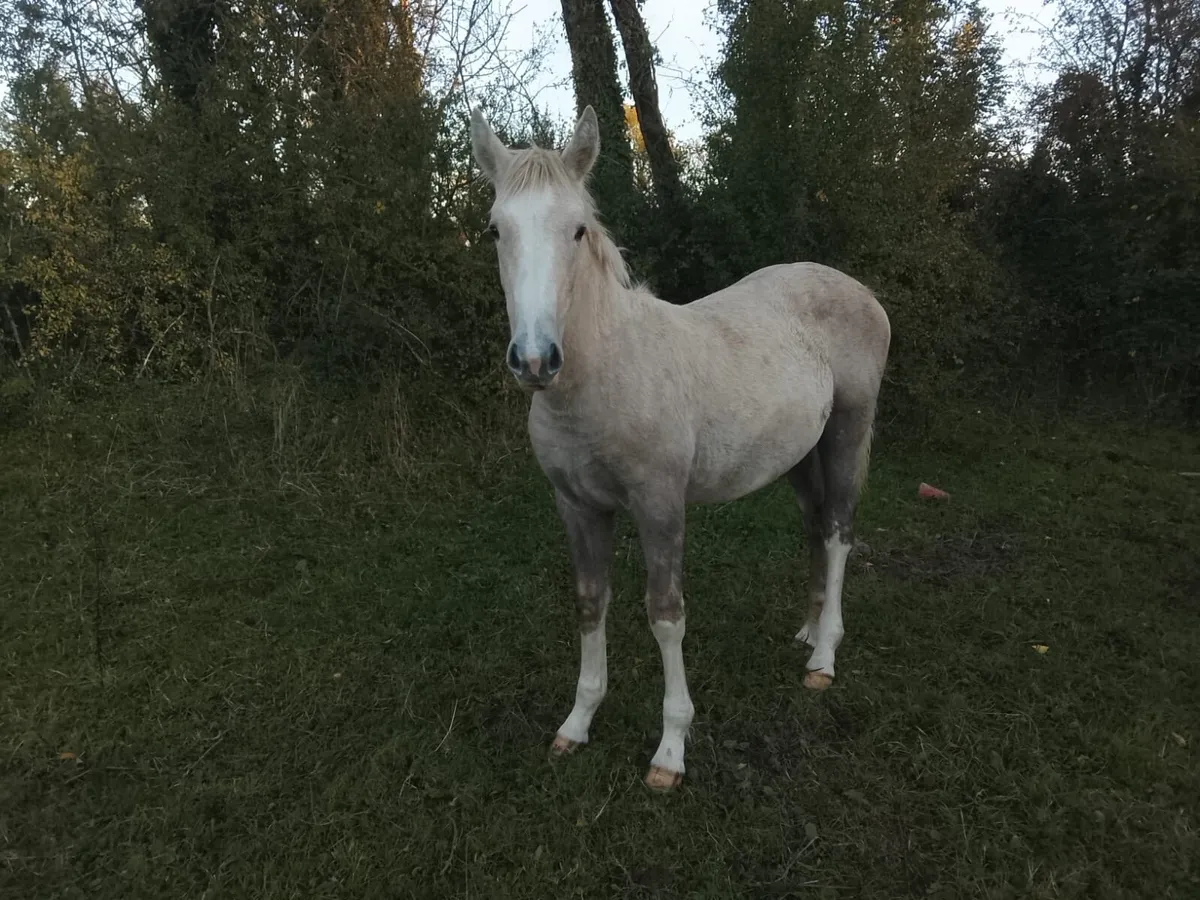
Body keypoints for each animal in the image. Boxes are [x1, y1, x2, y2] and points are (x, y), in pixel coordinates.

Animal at [469, 105, 891, 791]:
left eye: (578, 229)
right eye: (494, 231)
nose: (534, 361)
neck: (605, 375)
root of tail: (861, 293)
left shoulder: (660, 505)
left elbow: (665, 615)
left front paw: (670, 750)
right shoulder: (576, 506)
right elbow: (591, 603)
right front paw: (576, 724)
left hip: (849, 432)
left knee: (838, 531)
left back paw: (824, 656)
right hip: (799, 453)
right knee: (814, 524)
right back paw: (806, 630)